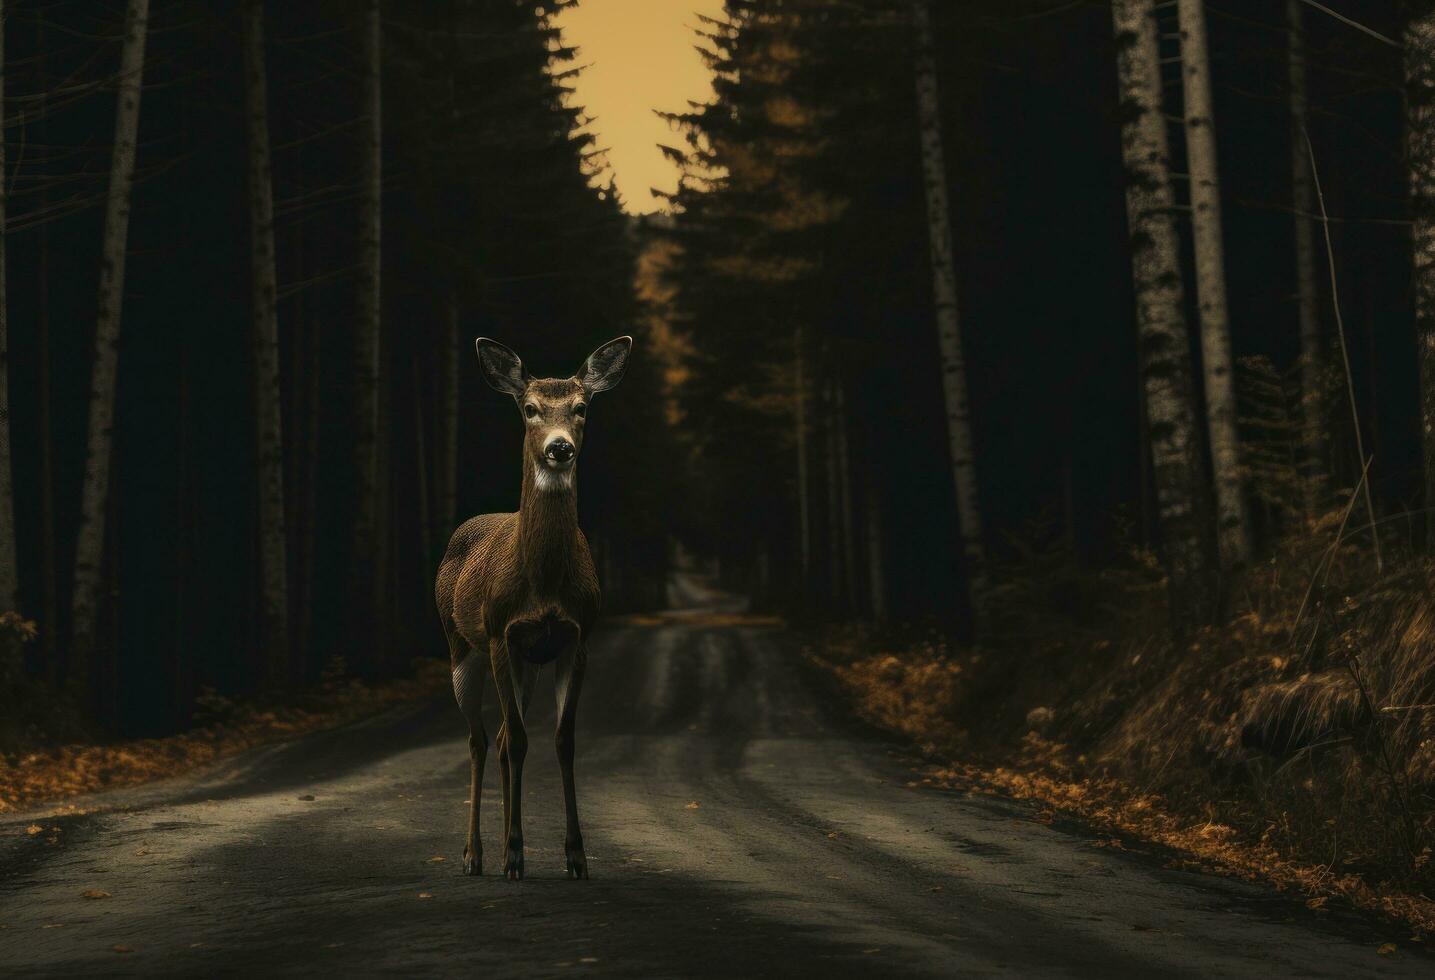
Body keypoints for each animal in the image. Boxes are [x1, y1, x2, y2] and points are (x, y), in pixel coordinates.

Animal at [433, 335, 631, 883]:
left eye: (582, 407)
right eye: (529, 409)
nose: (559, 447)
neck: (543, 585)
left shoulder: (575, 637)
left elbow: (562, 740)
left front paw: (575, 856)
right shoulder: (502, 632)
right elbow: (521, 741)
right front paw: (516, 855)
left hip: (527, 664)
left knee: (501, 736)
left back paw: (501, 847)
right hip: (461, 646)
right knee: (480, 739)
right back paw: (476, 855)